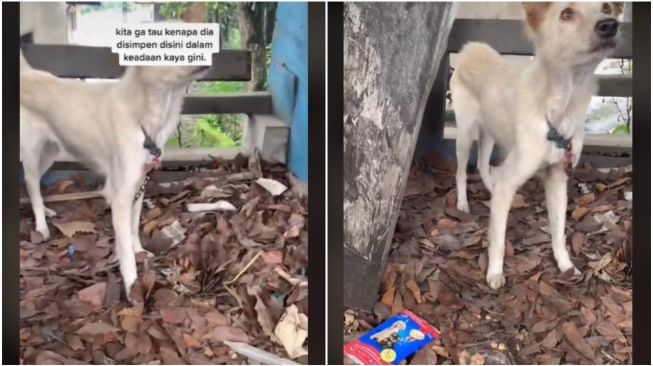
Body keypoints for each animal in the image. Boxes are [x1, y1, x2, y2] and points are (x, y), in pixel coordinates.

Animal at [19, 3, 209, 300]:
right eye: (171, 40)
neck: (147, 115)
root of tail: (26, 73)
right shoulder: (119, 195)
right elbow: (124, 249)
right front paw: (132, 286)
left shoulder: (140, 183)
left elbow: (133, 227)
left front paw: (139, 250)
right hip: (30, 149)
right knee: (30, 183)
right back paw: (41, 225)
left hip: (51, 150)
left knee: (35, 182)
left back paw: (47, 212)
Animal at [450, 2, 624, 288]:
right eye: (567, 13)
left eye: (606, 7)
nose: (609, 25)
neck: (558, 108)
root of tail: (471, 48)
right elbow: (498, 238)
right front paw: (494, 272)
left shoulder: (557, 176)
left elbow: (558, 229)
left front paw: (565, 265)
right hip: (465, 133)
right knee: (462, 170)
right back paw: (463, 203)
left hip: (491, 132)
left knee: (485, 164)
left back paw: (490, 187)